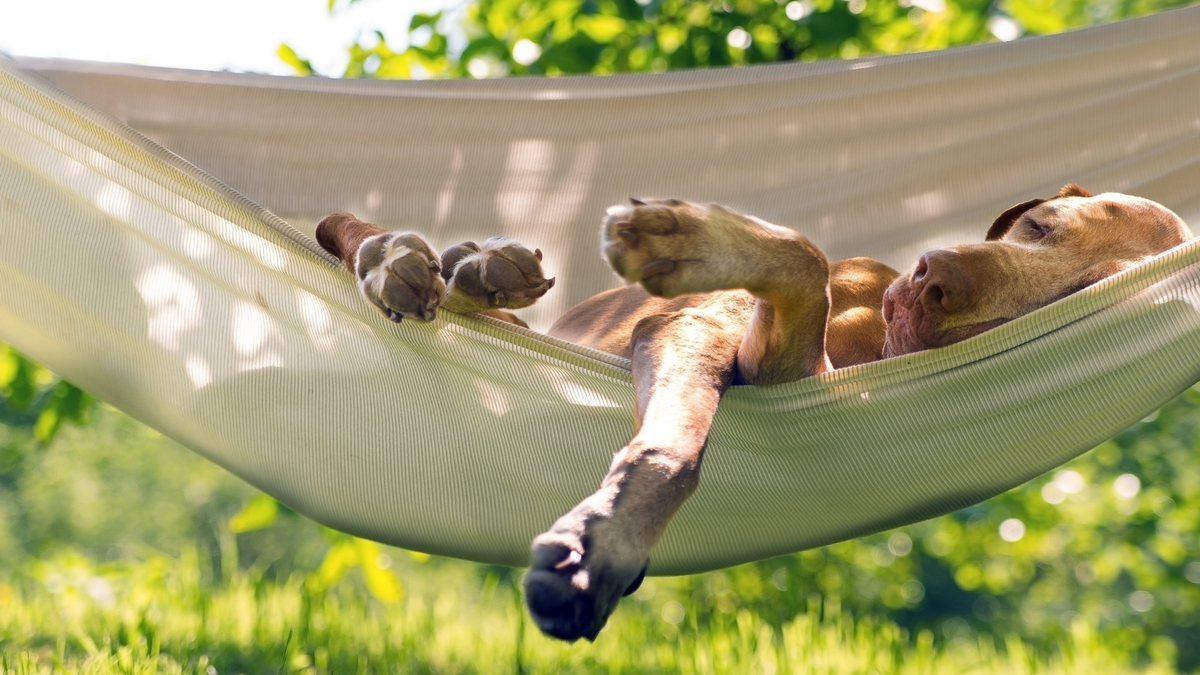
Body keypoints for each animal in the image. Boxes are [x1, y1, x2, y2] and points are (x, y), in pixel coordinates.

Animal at [316, 184, 1190, 638]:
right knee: (353, 234)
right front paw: (685, 234)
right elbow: (802, 256)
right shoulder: (700, 324)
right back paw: (421, 260)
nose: (934, 274)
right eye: (1038, 226)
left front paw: (603, 542)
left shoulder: (781, 365)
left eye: (1079, 292)